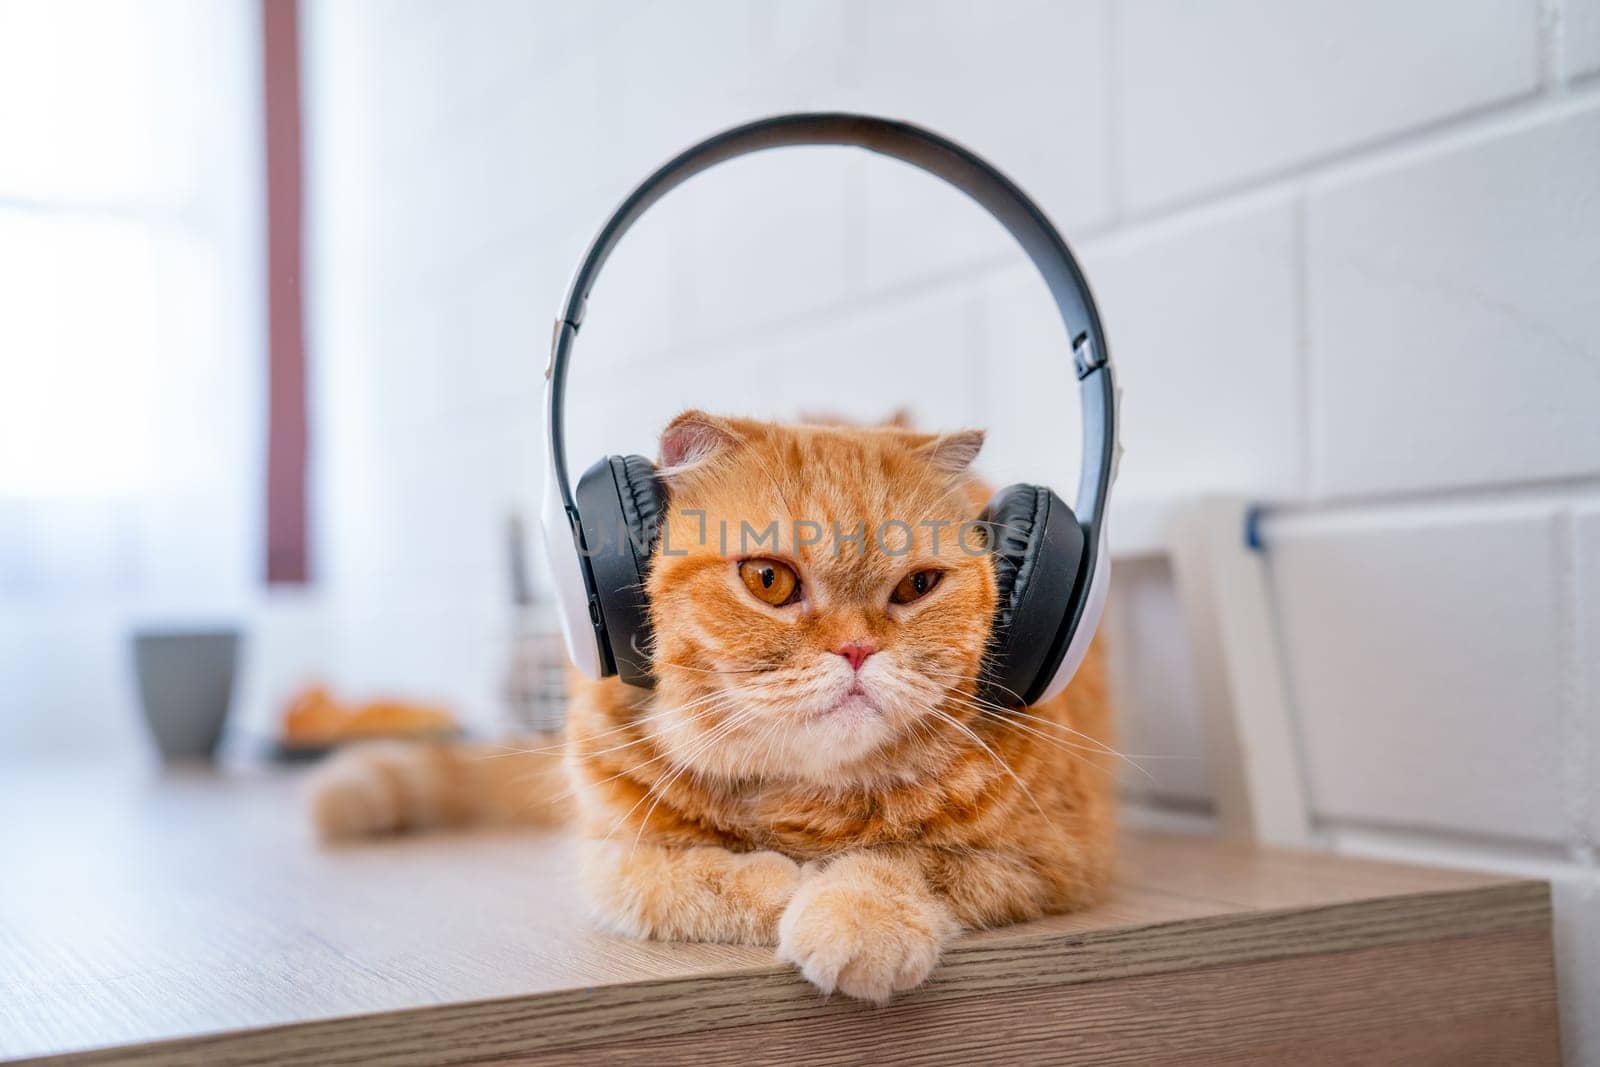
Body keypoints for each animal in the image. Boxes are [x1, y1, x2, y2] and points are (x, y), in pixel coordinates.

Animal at [308, 409, 1113, 1004]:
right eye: (769, 580)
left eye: (917, 586)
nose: (857, 650)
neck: (797, 801)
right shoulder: (611, 858)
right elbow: (695, 878)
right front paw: (788, 886)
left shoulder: (1051, 860)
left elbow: (907, 860)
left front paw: (856, 912)